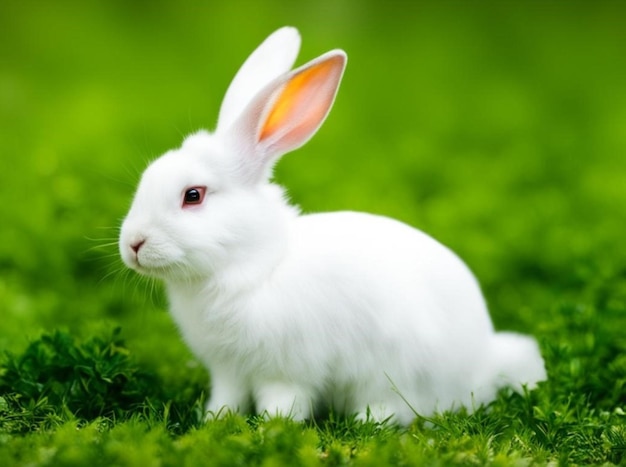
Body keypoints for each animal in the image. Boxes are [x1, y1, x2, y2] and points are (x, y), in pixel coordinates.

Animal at [119, 26, 544, 428]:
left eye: (193, 195)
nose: (133, 245)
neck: (256, 267)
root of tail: (483, 362)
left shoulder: (286, 370)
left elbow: (283, 402)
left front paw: (271, 428)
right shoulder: (228, 371)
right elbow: (227, 399)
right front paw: (213, 422)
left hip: (393, 374)